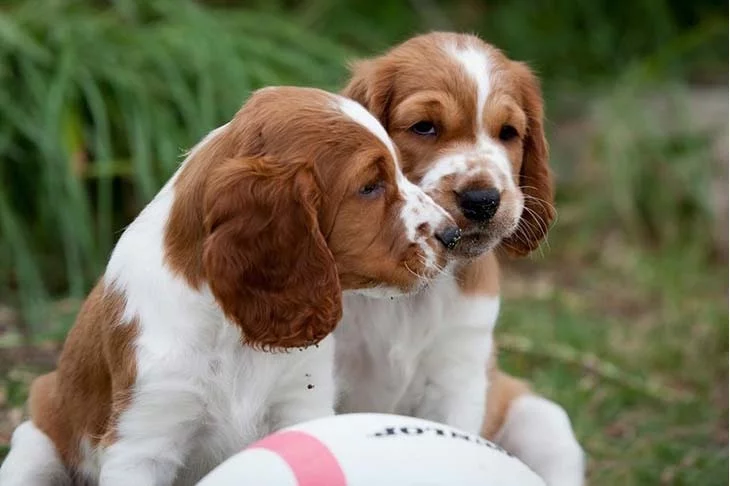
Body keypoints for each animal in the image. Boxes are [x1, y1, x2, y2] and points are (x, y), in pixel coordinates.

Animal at [0, 86, 456, 486]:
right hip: (35, 444)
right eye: (369, 187)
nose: (452, 235)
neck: (232, 333)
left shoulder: (300, 404)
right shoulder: (144, 441)